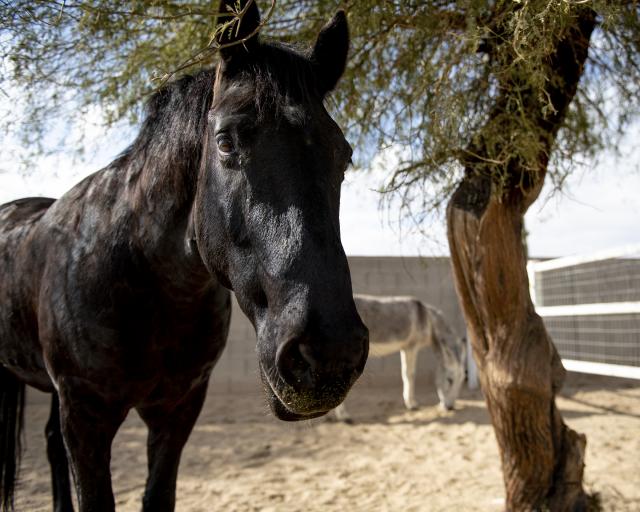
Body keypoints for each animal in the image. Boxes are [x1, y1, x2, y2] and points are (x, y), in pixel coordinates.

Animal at [0, 2, 368, 510]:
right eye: (227, 141)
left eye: (344, 155)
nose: (329, 353)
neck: (145, 279)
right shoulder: (86, 417)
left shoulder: (177, 411)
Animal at [336, 294, 464, 422]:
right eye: (450, 380)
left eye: (462, 381)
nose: (450, 408)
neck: (427, 319)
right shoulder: (411, 347)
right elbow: (410, 374)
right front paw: (412, 405)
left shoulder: (404, 348)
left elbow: (405, 374)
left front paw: (409, 403)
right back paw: (344, 416)